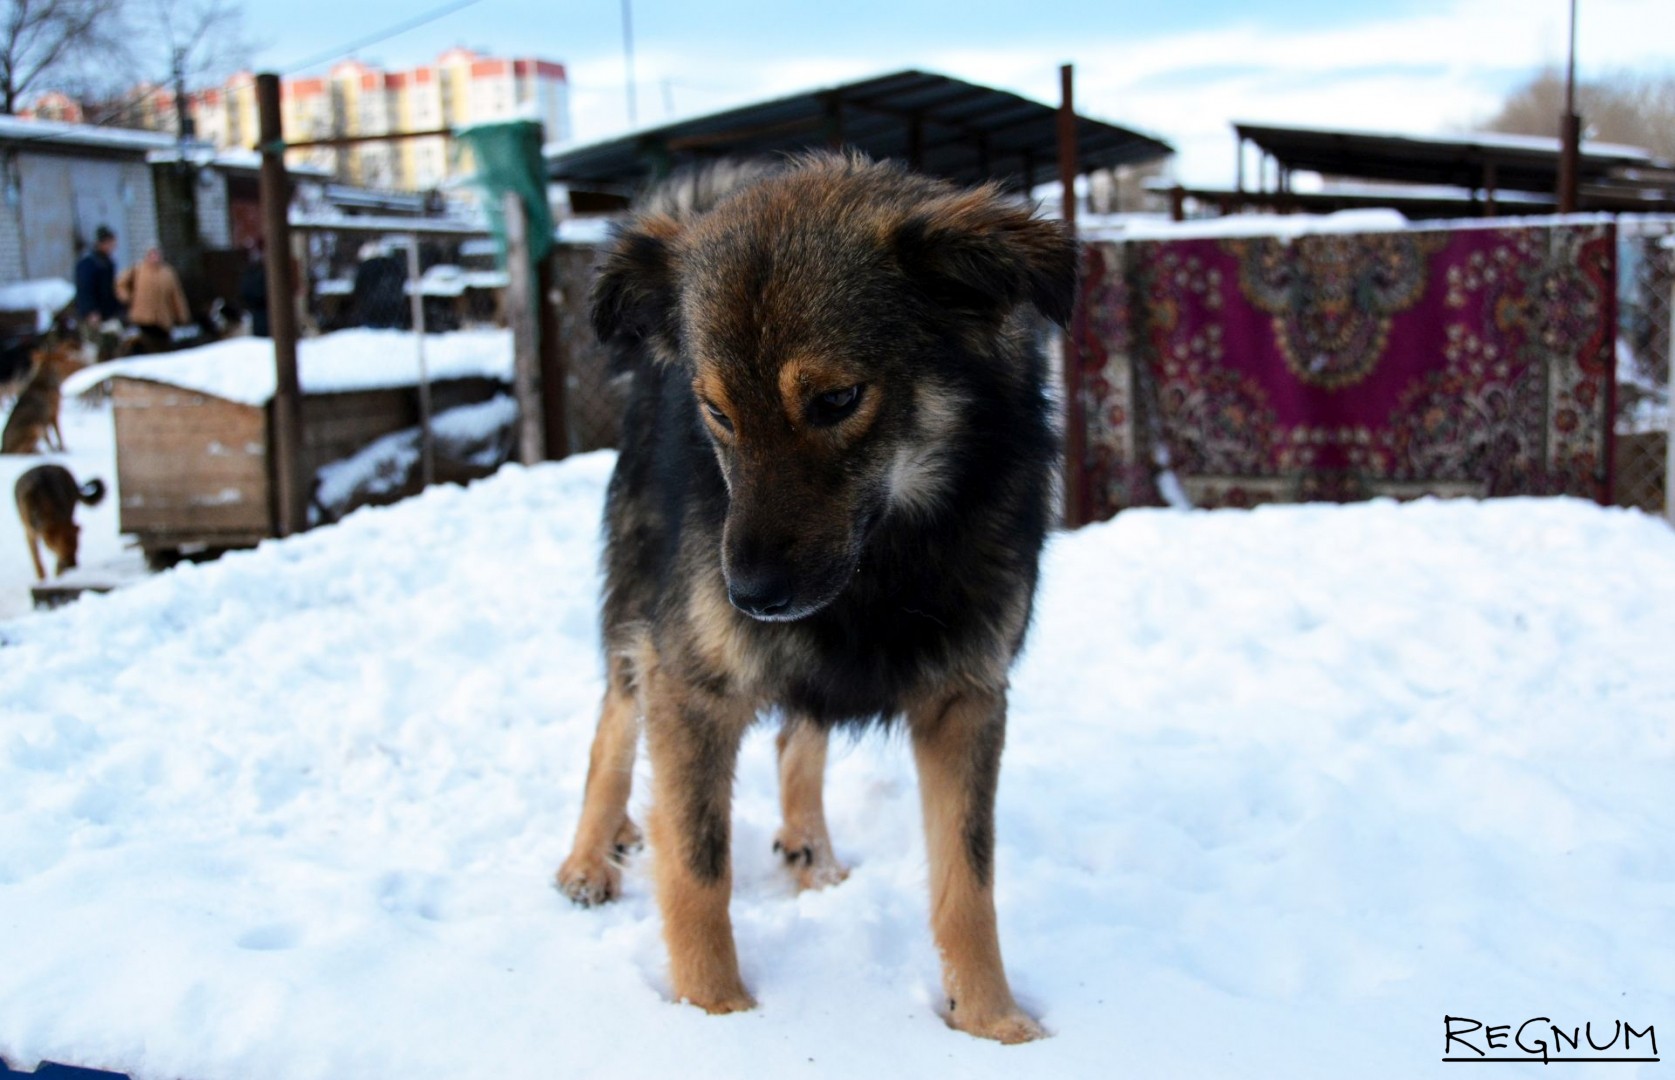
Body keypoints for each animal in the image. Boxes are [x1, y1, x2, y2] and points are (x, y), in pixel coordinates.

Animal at [552, 147, 1072, 1038]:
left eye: (835, 401)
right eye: (715, 411)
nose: (749, 595)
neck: (885, 563)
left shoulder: (965, 695)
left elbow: (967, 881)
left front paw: (991, 1023)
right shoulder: (690, 684)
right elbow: (697, 870)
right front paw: (716, 1016)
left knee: (799, 735)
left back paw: (811, 853)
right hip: (637, 604)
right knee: (612, 727)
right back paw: (589, 858)